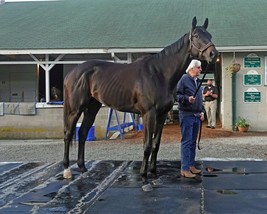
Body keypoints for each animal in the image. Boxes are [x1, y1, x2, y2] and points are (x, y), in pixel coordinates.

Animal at [63, 16, 219, 191]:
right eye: (197, 36)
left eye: (210, 35)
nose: (213, 54)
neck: (159, 73)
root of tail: (72, 72)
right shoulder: (149, 114)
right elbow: (147, 145)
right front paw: (144, 179)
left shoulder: (162, 114)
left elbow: (156, 144)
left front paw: (154, 174)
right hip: (75, 109)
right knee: (68, 134)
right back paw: (67, 170)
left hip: (92, 108)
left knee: (83, 133)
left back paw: (83, 168)